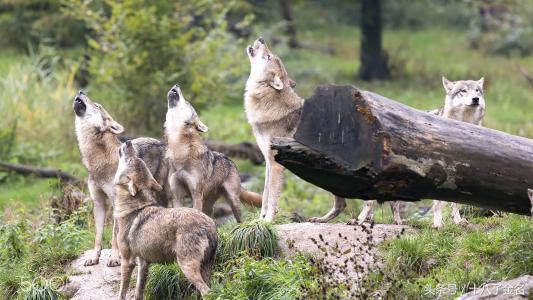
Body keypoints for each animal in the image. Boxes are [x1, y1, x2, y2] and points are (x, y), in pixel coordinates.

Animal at [72, 90, 171, 266]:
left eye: (97, 105)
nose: (81, 91)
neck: (97, 161)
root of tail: (162, 143)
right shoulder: (98, 203)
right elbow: (98, 236)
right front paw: (94, 258)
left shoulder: (115, 203)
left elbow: (114, 236)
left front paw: (114, 258)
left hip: (160, 192)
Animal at [115, 140, 218, 298]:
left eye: (132, 160)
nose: (128, 142)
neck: (132, 208)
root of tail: (209, 226)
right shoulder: (143, 263)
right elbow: (139, 291)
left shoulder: (127, 261)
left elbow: (122, 292)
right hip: (204, 269)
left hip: (186, 267)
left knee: (206, 291)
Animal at [164, 84, 260, 220]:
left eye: (187, 103)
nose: (177, 84)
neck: (180, 151)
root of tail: (231, 161)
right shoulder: (177, 196)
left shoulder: (196, 195)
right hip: (208, 204)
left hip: (233, 201)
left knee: (240, 220)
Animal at [430, 76, 484, 229]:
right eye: (463, 91)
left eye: (477, 90)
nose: (476, 99)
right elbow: (438, 203)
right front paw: (437, 224)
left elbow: (456, 203)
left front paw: (458, 221)